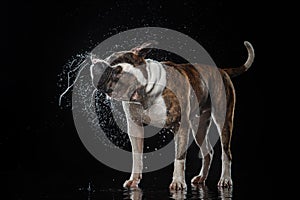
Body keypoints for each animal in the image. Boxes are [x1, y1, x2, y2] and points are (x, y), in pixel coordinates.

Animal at [89, 41, 255, 190]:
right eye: (109, 58)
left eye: (116, 71)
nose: (96, 62)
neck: (147, 92)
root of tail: (221, 70)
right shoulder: (135, 128)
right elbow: (137, 157)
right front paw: (134, 180)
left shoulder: (181, 127)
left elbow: (179, 157)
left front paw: (178, 182)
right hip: (199, 127)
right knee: (208, 151)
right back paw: (202, 178)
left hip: (223, 120)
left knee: (226, 152)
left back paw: (225, 179)